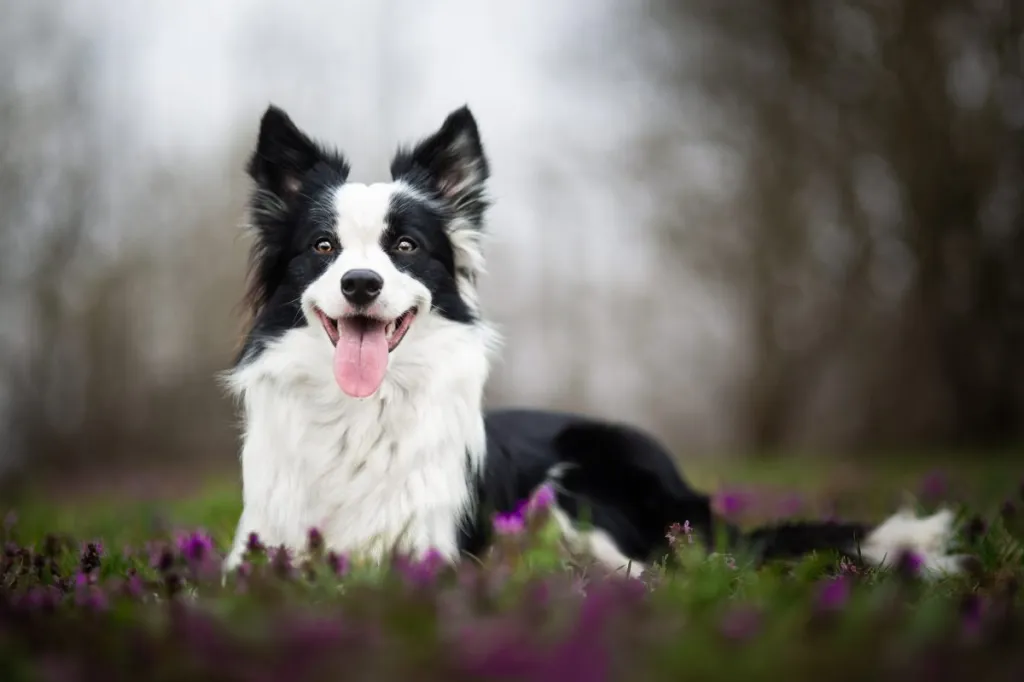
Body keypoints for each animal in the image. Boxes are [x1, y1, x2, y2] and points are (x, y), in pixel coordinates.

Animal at [220, 103, 962, 577]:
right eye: (323, 247)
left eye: (404, 246)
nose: (361, 284)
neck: (357, 413)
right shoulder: (255, 551)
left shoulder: (428, 551)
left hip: (587, 479)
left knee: (651, 571)